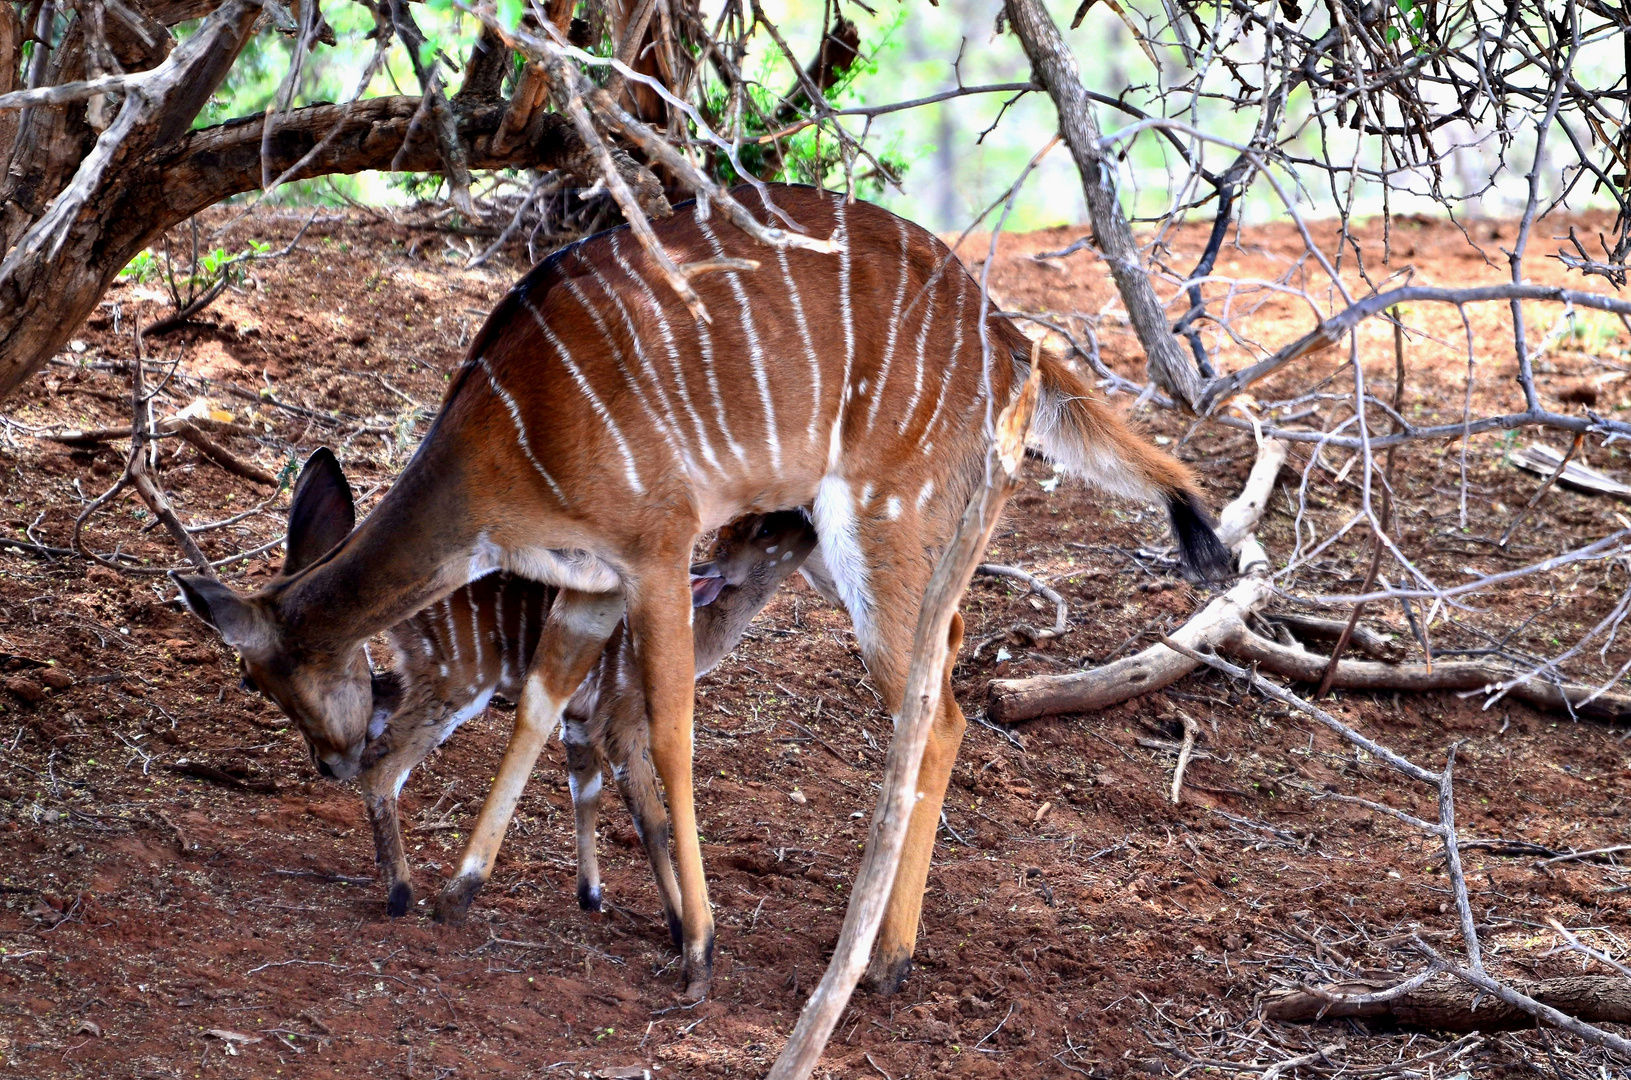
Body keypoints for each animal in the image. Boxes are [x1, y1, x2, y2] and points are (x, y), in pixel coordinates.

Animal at [175, 184, 1226, 998]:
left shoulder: (657, 545)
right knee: (952, 661)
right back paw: (878, 948)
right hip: (912, 542)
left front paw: (698, 947)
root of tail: (1013, 344)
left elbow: (670, 729)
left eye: (266, 679)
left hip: (878, 526)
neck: (504, 443)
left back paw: (882, 962)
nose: (330, 763)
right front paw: (459, 889)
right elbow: (545, 706)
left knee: (937, 714)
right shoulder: (590, 581)